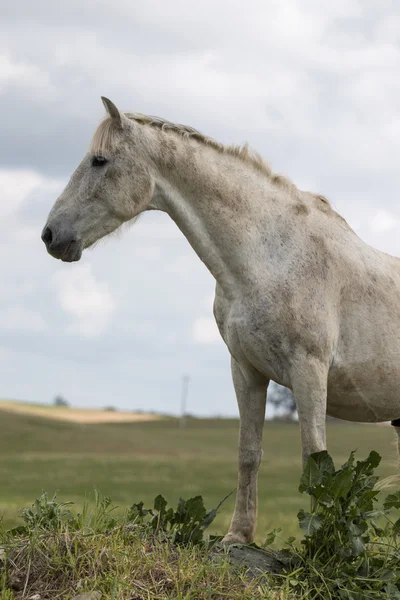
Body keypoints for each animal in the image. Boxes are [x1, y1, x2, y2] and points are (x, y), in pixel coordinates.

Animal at [42, 98, 400, 544]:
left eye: (99, 160)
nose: (50, 235)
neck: (267, 257)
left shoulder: (309, 371)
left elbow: (315, 461)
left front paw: (319, 544)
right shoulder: (246, 370)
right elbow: (249, 453)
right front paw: (238, 535)